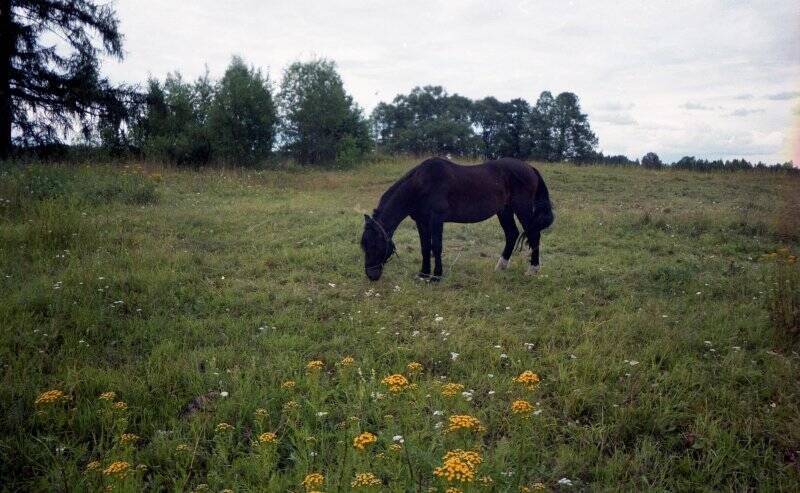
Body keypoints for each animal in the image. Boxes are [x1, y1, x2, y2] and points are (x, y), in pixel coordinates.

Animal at [360, 158, 552, 280]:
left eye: (375, 245)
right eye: (364, 245)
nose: (371, 275)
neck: (420, 185)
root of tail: (529, 168)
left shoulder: (436, 219)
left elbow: (436, 247)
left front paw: (436, 276)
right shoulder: (421, 221)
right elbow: (425, 248)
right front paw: (423, 274)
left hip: (522, 208)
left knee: (533, 234)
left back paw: (532, 270)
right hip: (504, 210)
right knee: (512, 234)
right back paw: (501, 266)